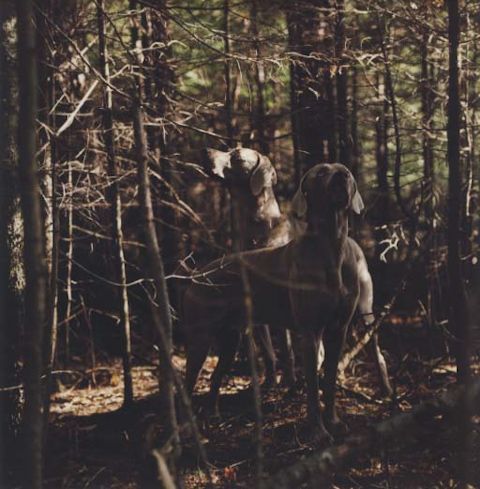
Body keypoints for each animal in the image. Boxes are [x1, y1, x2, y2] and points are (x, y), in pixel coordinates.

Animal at [184, 162, 368, 440]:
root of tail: (198, 275)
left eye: (344, 171)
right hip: (200, 337)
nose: (342, 176)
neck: (330, 248)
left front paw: (334, 422)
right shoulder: (310, 333)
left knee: (215, 377)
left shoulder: (338, 330)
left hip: (231, 338)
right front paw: (317, 431)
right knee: (186, 384)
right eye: (321, 172)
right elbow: (313, 387)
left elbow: (329, 382)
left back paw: (212, 417)